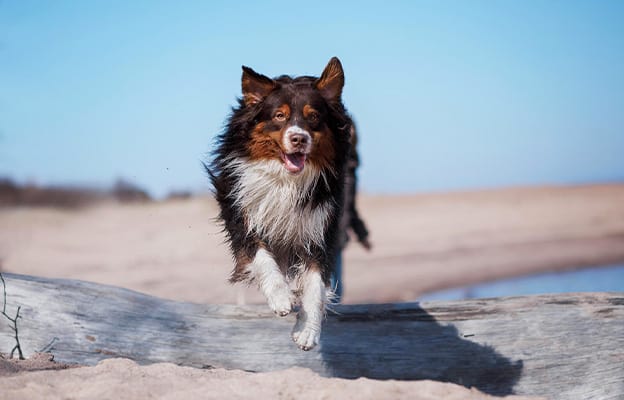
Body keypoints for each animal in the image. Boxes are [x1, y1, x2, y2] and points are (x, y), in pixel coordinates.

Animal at [210, 56, 354, 350]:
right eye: (279, 116)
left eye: (314, 116)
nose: (299, 138)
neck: (286, 179)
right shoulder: (241, 213)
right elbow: (262, 256)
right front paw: (281, 297)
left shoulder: (320, 228)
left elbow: (315, 283)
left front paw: (308, 329)